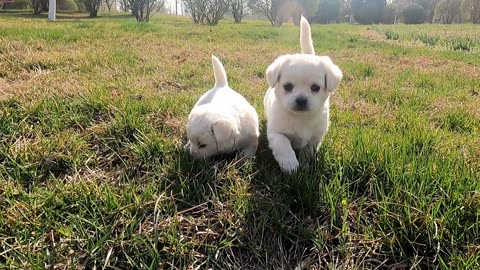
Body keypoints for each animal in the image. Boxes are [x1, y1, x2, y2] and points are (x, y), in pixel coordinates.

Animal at [264, 16, 344, 173]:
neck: (300, 118)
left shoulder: (315, 137)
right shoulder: (276, 132)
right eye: (287, 87)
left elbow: (307, 151)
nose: (301, 100)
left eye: (315, 88)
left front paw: (305, 167)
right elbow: (283, 145)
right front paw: (290, 164)